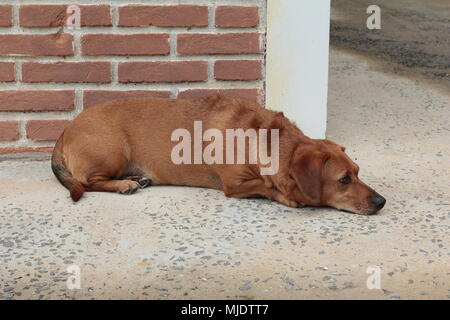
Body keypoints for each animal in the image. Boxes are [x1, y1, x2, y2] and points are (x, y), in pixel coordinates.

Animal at [51, 95, 384, 215]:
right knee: (88, 182)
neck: (264, 140)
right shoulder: (235, 185)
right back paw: (124, 184)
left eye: (358, 172)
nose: (382, 201)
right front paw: (288, 196)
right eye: (343, 180)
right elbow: (267, 186)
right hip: (113, 152)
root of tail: (65, 129)